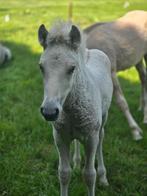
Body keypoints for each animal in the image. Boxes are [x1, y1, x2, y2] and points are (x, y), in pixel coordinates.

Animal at [38, 21, 112, 196]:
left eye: (72, 68)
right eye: (41, 67)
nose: (49, 112)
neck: (70, 111)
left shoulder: (91, 138)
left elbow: (89, 175)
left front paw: (96, 177)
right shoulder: (60, 137)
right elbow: (64, 173)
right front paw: (73, 167)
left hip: (102, 120)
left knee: (102, 138)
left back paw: (103, 177)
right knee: (78, 141)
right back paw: (77, 163)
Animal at [84, 10, 147, 140]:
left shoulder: (111, 72)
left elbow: (121, 102)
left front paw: (135, 132)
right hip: (138, 58)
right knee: (143, 78)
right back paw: (142, 108)